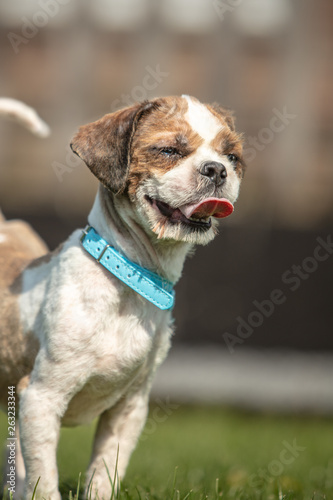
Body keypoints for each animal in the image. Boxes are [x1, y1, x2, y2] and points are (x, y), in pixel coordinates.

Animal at [0, 95, 244, 498]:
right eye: (168, 150)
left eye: (233, 156)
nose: (217, 170)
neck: (129, 278)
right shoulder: (40, 399)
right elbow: (43, 479)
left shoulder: (129, 409)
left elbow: (104, 472)